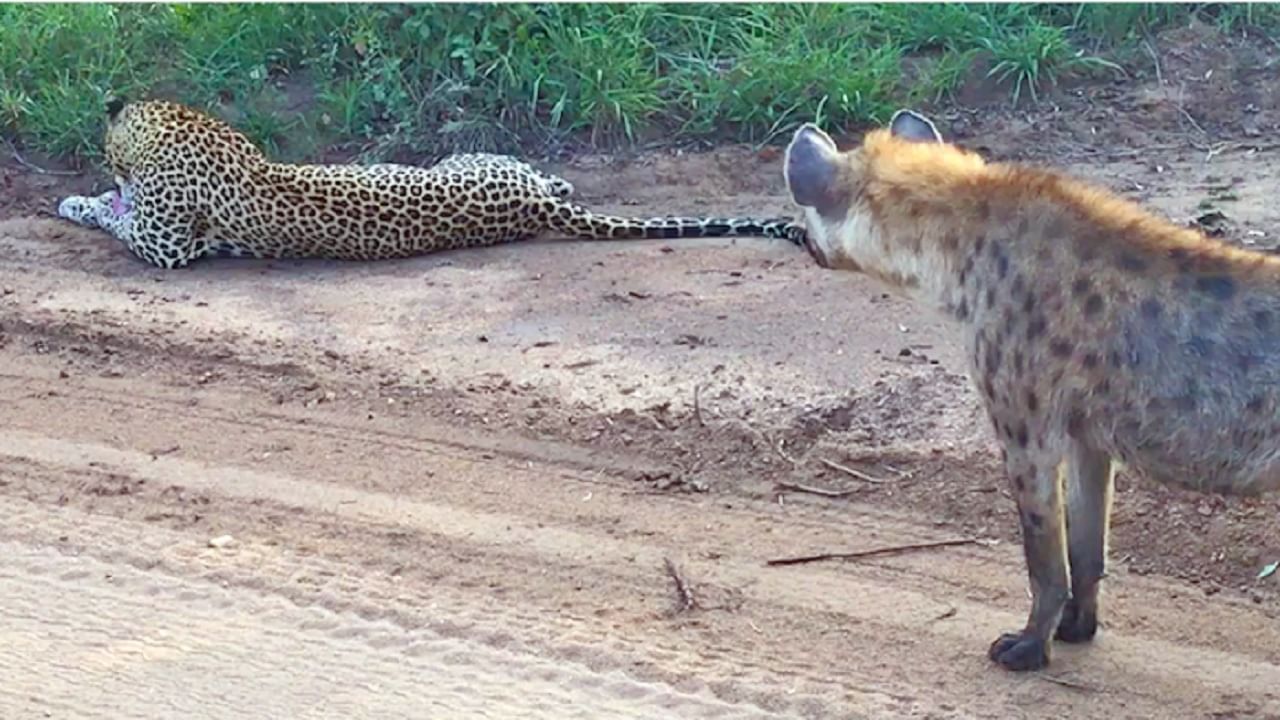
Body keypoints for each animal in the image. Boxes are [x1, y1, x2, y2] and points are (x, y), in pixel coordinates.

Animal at [778, 109, 1280, 671]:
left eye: (804, 217)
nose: (800, 240)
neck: (959, 256)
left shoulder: (1025, 424)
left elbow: (1043, 552)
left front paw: (1025, 647)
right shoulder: (1088, 432)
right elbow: (1086, 546)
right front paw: (1077, 627)